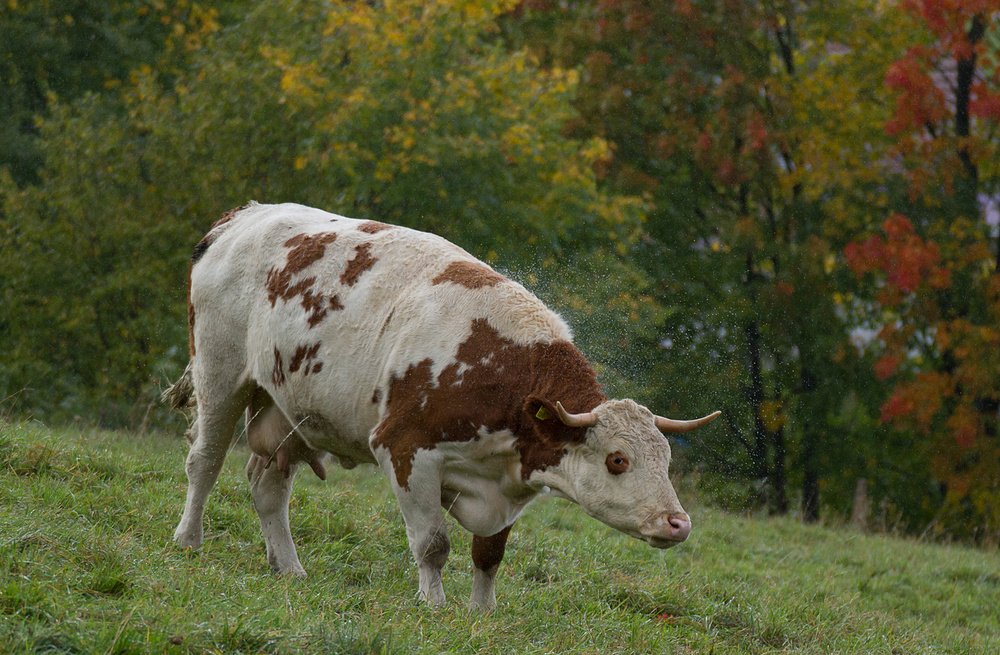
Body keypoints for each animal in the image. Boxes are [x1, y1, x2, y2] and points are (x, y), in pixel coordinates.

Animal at [170, 201, 720, 608]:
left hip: (287, 409)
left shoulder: (508, 482)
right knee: (205, 461)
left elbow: (489, 554)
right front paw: (433, 605)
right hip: (220, 375)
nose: (679, 523)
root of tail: (245, 215)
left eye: (665, 459)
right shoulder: (404, 448)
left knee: (268, 486)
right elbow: (433, 542)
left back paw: (289, 568)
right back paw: (189, 540)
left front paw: (482, 612)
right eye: (618, 460)